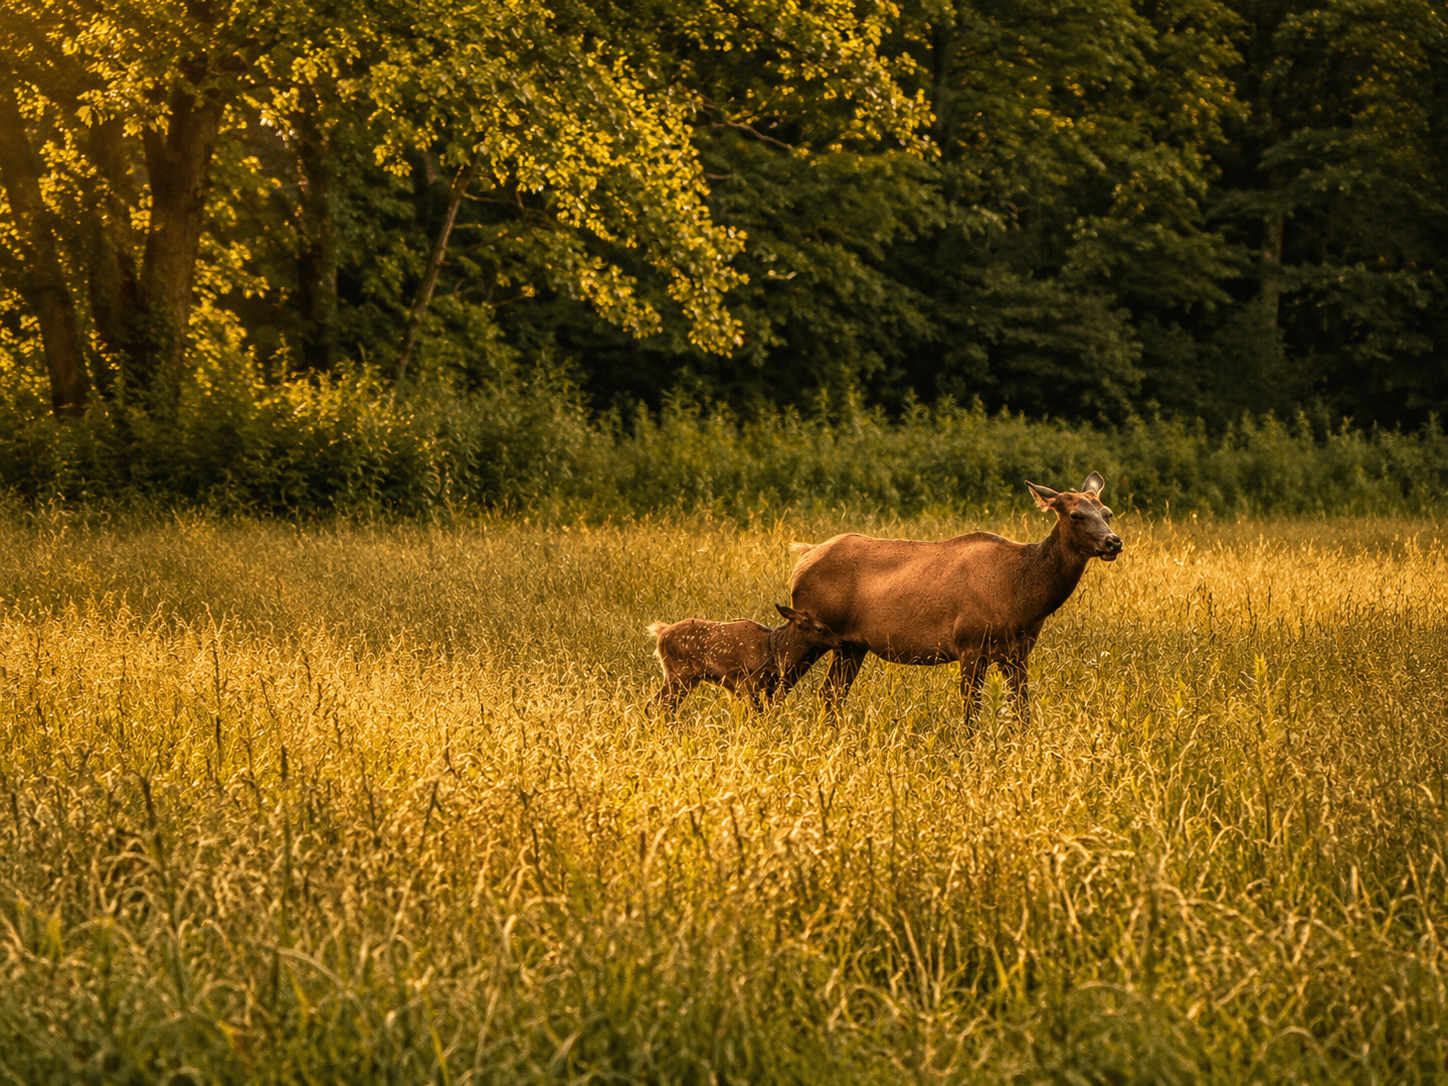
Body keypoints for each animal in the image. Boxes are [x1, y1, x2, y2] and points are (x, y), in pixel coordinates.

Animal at [648, 604, 843, 713]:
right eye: (820, 628)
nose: (840, 641)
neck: (773, 650)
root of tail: (660, 633)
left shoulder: (767, 686)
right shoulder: (745, 682)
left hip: (685, 678)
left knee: (659, 702)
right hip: (679, 673)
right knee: (660, 702)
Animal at [780, 472, 1122, 728]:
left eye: (1107, 513)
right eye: (1075, 514)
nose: (1113, 541)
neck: (1022, 598)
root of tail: (802, 559)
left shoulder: (1019, 652)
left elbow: (1022, 711)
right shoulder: (969, 642)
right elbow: (971, 713)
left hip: (851, 645)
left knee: (829, 694)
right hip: (812, 631)